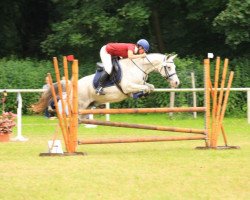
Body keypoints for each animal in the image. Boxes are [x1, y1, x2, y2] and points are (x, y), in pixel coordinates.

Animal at [31, 53, 180, 115]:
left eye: (174, 67)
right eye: (169, 67)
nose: (177, 82)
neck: (138, 66)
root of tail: (74, 84)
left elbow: (150, 87)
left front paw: (143, 94)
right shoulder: (128, 86)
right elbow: (142, 87)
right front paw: (140, 94)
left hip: (87, 106)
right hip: (79, 103)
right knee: (64, 106)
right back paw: (52, 110)